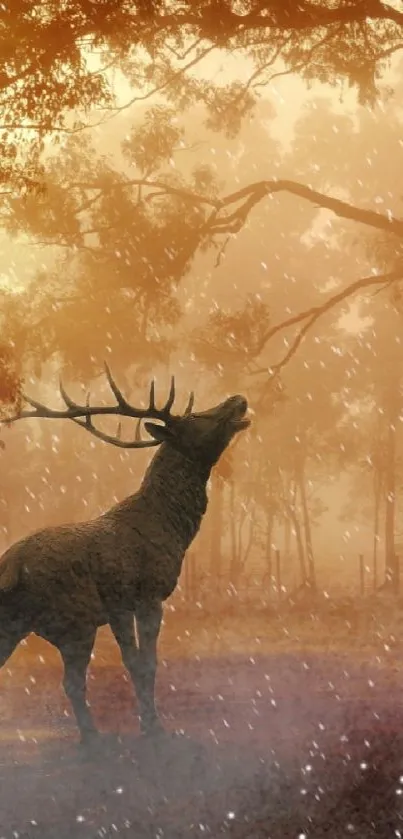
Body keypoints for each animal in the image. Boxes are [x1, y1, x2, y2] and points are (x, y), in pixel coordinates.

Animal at [0, 364, 250, 747]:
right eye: (196, 417)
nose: (239, 399)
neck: (172, 528)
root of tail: (11, 566)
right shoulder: (143, 594)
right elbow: (144, 663)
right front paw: (154, 728)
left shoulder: (121, 606)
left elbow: (134, 662)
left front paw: (148, 723)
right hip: (74, 620)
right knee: (72, 683)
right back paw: (92, 736)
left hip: (18, 622)